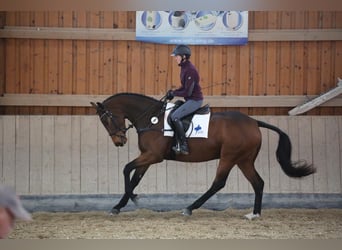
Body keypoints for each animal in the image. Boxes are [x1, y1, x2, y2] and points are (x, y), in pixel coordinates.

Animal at [90, 93, 316, 220]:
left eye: (106, 120)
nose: (119, 141)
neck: (151, 118)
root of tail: (253, 122)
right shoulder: (147, 156)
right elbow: (135, 177)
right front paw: (121, 204)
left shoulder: (153, 155)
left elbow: (126, 169)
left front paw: (129, 200)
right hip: (244, 160)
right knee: (258, 183)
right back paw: (255, 214)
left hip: (229, 157)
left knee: (218, 183)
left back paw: (189, 208)